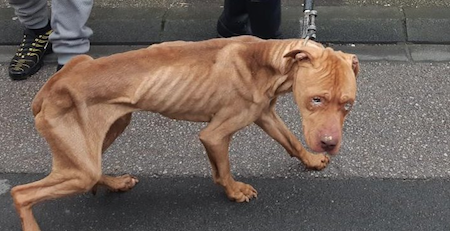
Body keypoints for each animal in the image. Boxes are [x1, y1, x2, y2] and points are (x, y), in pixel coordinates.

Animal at [11, 35, 358, 230]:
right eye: (316, 99)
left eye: (348, 104)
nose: (329, 144)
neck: (264, 59)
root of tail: (51, 86)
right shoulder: (215, 134)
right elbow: (224, 171)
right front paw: (235, 192)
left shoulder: (264, 114)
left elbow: (291, 141)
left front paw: (311, 160)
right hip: (79, 166)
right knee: (21, 193)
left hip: (109, 130)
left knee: (95, 171)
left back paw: (117, 183)